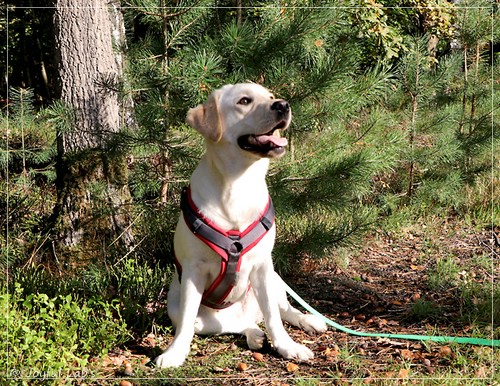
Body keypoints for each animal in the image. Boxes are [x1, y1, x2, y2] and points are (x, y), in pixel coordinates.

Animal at [156, 83, 328, 368]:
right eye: (244, 101)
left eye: (270, 96)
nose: (283, 105)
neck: (238, 183)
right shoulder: (193, 270)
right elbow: (187, 322)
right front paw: (175, 352)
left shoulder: (263, 265)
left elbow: (274, 316)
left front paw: (287, 347)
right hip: (177, 305)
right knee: (226, 325)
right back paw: (254, 334)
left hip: (276, 279)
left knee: (284, 310)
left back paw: (308, 320)